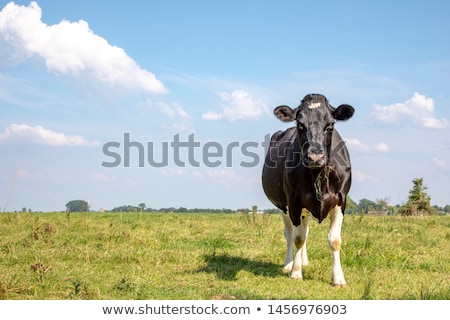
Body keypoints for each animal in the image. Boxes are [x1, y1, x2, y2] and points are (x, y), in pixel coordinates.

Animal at [260, 92, 356, 284]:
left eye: (331, 124)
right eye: (299, 124)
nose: (315, 156)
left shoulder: (341, 200)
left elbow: (334, 240)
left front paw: (338, 277)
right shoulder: (294, 202)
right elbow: (298, 238)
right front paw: (296, 272)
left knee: (306, 230)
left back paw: (304, 260)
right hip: (284, 207)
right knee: (290, 233)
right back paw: (289, 264)